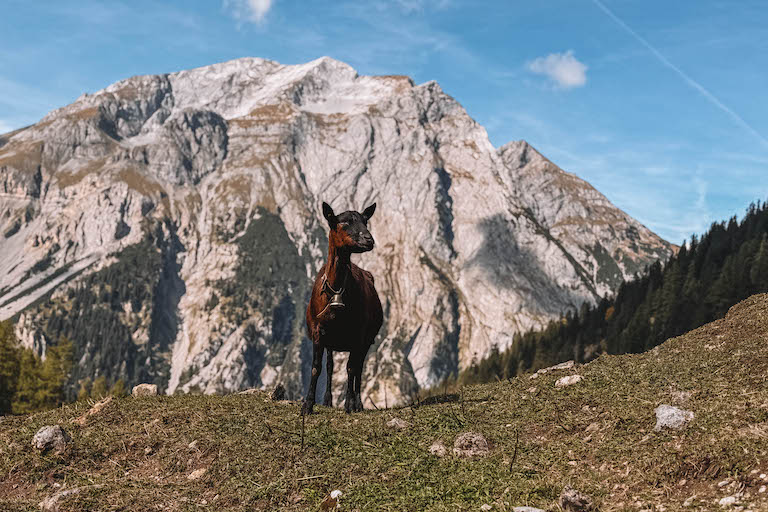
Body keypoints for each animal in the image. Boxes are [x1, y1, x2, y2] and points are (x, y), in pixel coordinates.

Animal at [303, 202, 383, 414]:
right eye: (344, 222)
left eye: (365, 221)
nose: (369, 239)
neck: (336, 289)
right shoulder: (318, 331)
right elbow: (316, 367)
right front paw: (308, 405)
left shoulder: (358, 334)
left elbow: (351, 369)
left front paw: (349, 404)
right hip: (332, 341)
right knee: (331, 366)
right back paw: (328, 400)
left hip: (366, 340)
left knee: (358, 369)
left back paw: (358, 404)